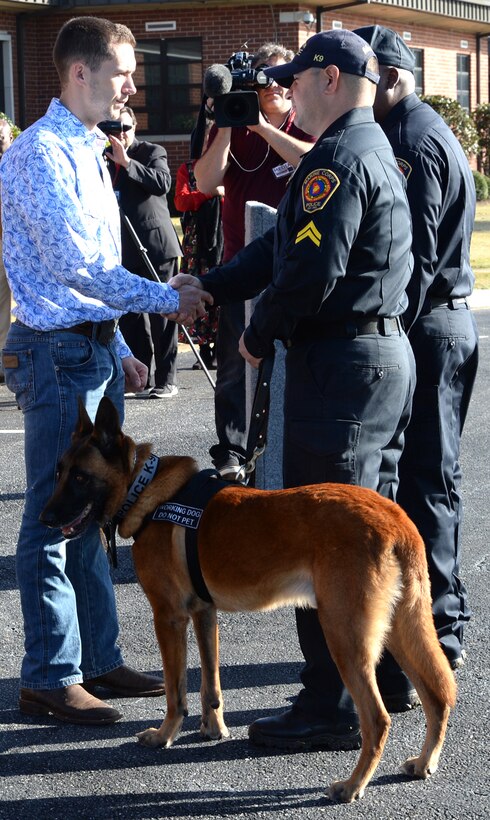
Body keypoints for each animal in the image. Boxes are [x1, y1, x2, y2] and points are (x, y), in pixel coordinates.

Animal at [40, 398, 458, 800]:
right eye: (59, 472)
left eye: (80, 477)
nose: (44, 518)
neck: (143, 487)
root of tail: (394, 519)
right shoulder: (204, 614)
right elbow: (210, 683)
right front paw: (213, 729)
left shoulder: (169, 617)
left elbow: (176, 690)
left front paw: (164, 736)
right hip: (399, 631)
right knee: (438, 693)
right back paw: (425, 762)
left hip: (344, 635)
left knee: (377, 718)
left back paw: (353, 785)